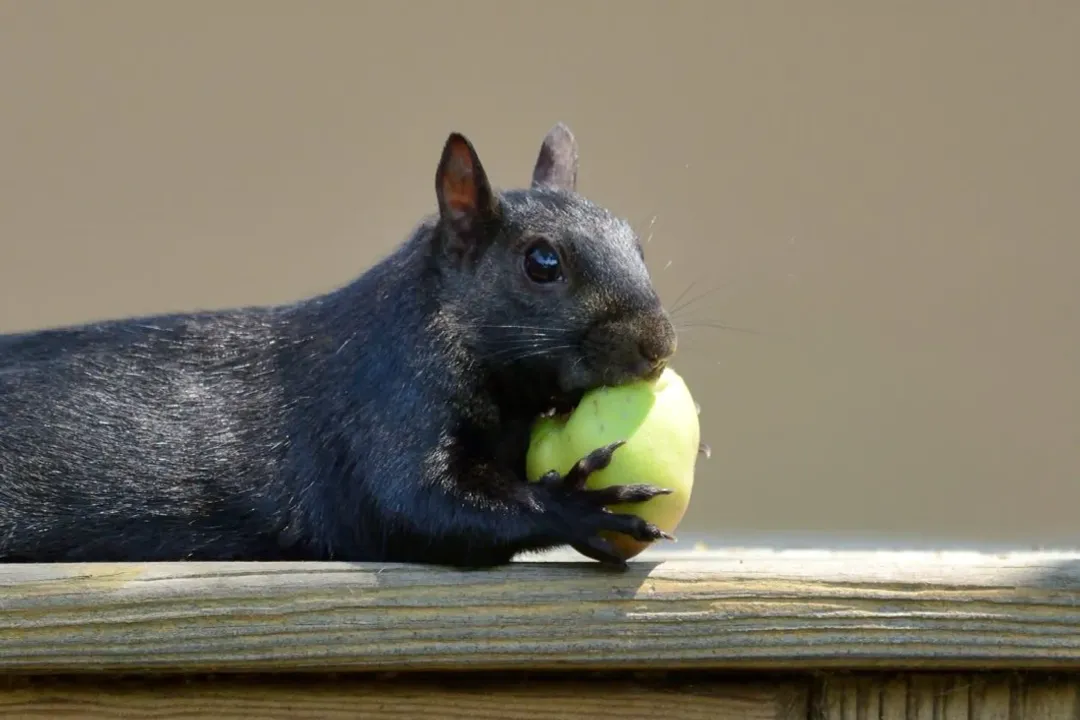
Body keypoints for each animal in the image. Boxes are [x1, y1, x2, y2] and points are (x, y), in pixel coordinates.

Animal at [0, 123, 679, 569]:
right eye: (542, 262)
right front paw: (580, 505)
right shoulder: (383, 403)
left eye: (637, 246)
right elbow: (419, 506)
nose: (658, 344)